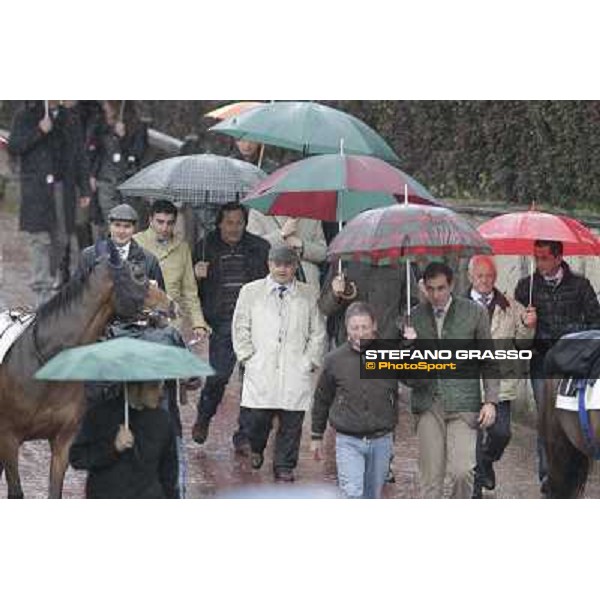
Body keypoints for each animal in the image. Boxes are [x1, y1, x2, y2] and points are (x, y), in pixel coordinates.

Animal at [0, 246, 173, 500]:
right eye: (139, 275)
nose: (172, 304)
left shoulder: (63, 440)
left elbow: (55, 492)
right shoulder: (9, 438)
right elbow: (16, 492)